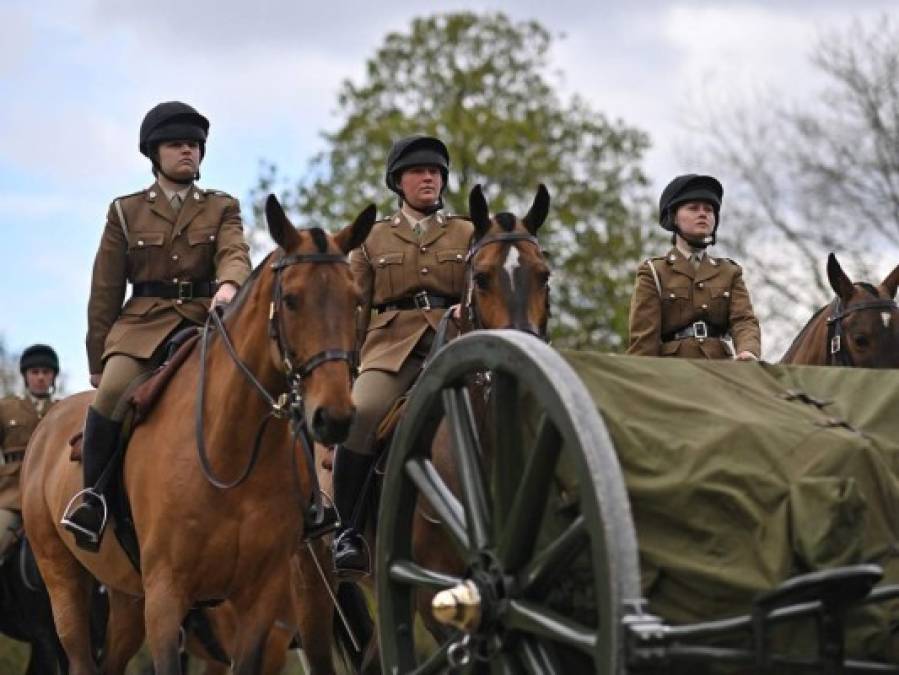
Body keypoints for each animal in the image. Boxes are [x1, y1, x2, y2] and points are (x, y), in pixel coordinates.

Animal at [19, 197, 376, 675]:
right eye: (291, 300)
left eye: (356, 300)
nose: (334, 416)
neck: (230, 452)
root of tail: (46, 427)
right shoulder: (167, 598)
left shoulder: (260, 601)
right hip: (65, 584)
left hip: (131, 599)